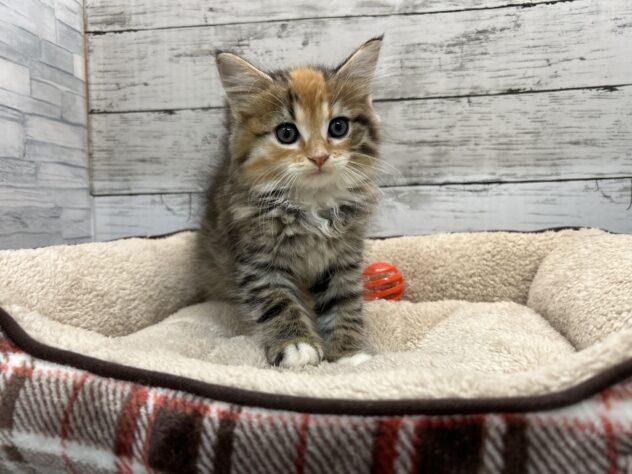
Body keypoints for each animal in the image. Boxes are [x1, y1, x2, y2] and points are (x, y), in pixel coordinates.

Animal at [196, 37, 383, 368]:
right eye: (286, 133)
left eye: (338, 127)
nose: (319, 157)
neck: (312, 203)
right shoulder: (259, 259)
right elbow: (277, 302)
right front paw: (297, 345)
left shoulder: (343, 257)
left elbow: (344, 301)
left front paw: (349, 354)